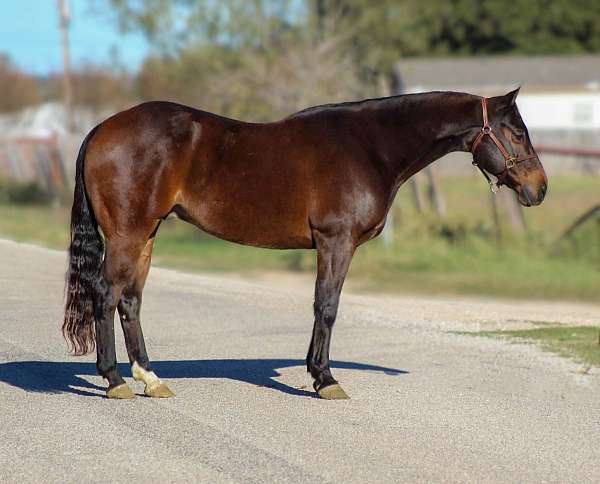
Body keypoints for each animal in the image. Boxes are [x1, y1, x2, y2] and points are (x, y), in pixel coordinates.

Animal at [62, 89, 548, 398]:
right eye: (516, 132)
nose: (540, 188)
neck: (369, 145)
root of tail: (101, 129)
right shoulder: (336, 242)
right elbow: (326, 306)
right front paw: (325, 379)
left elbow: (323, 307)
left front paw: (319, 374)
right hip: (127, 235)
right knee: (105, 294)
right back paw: (114, 382)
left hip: (145, 235)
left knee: (130, 301)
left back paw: (151, 379)